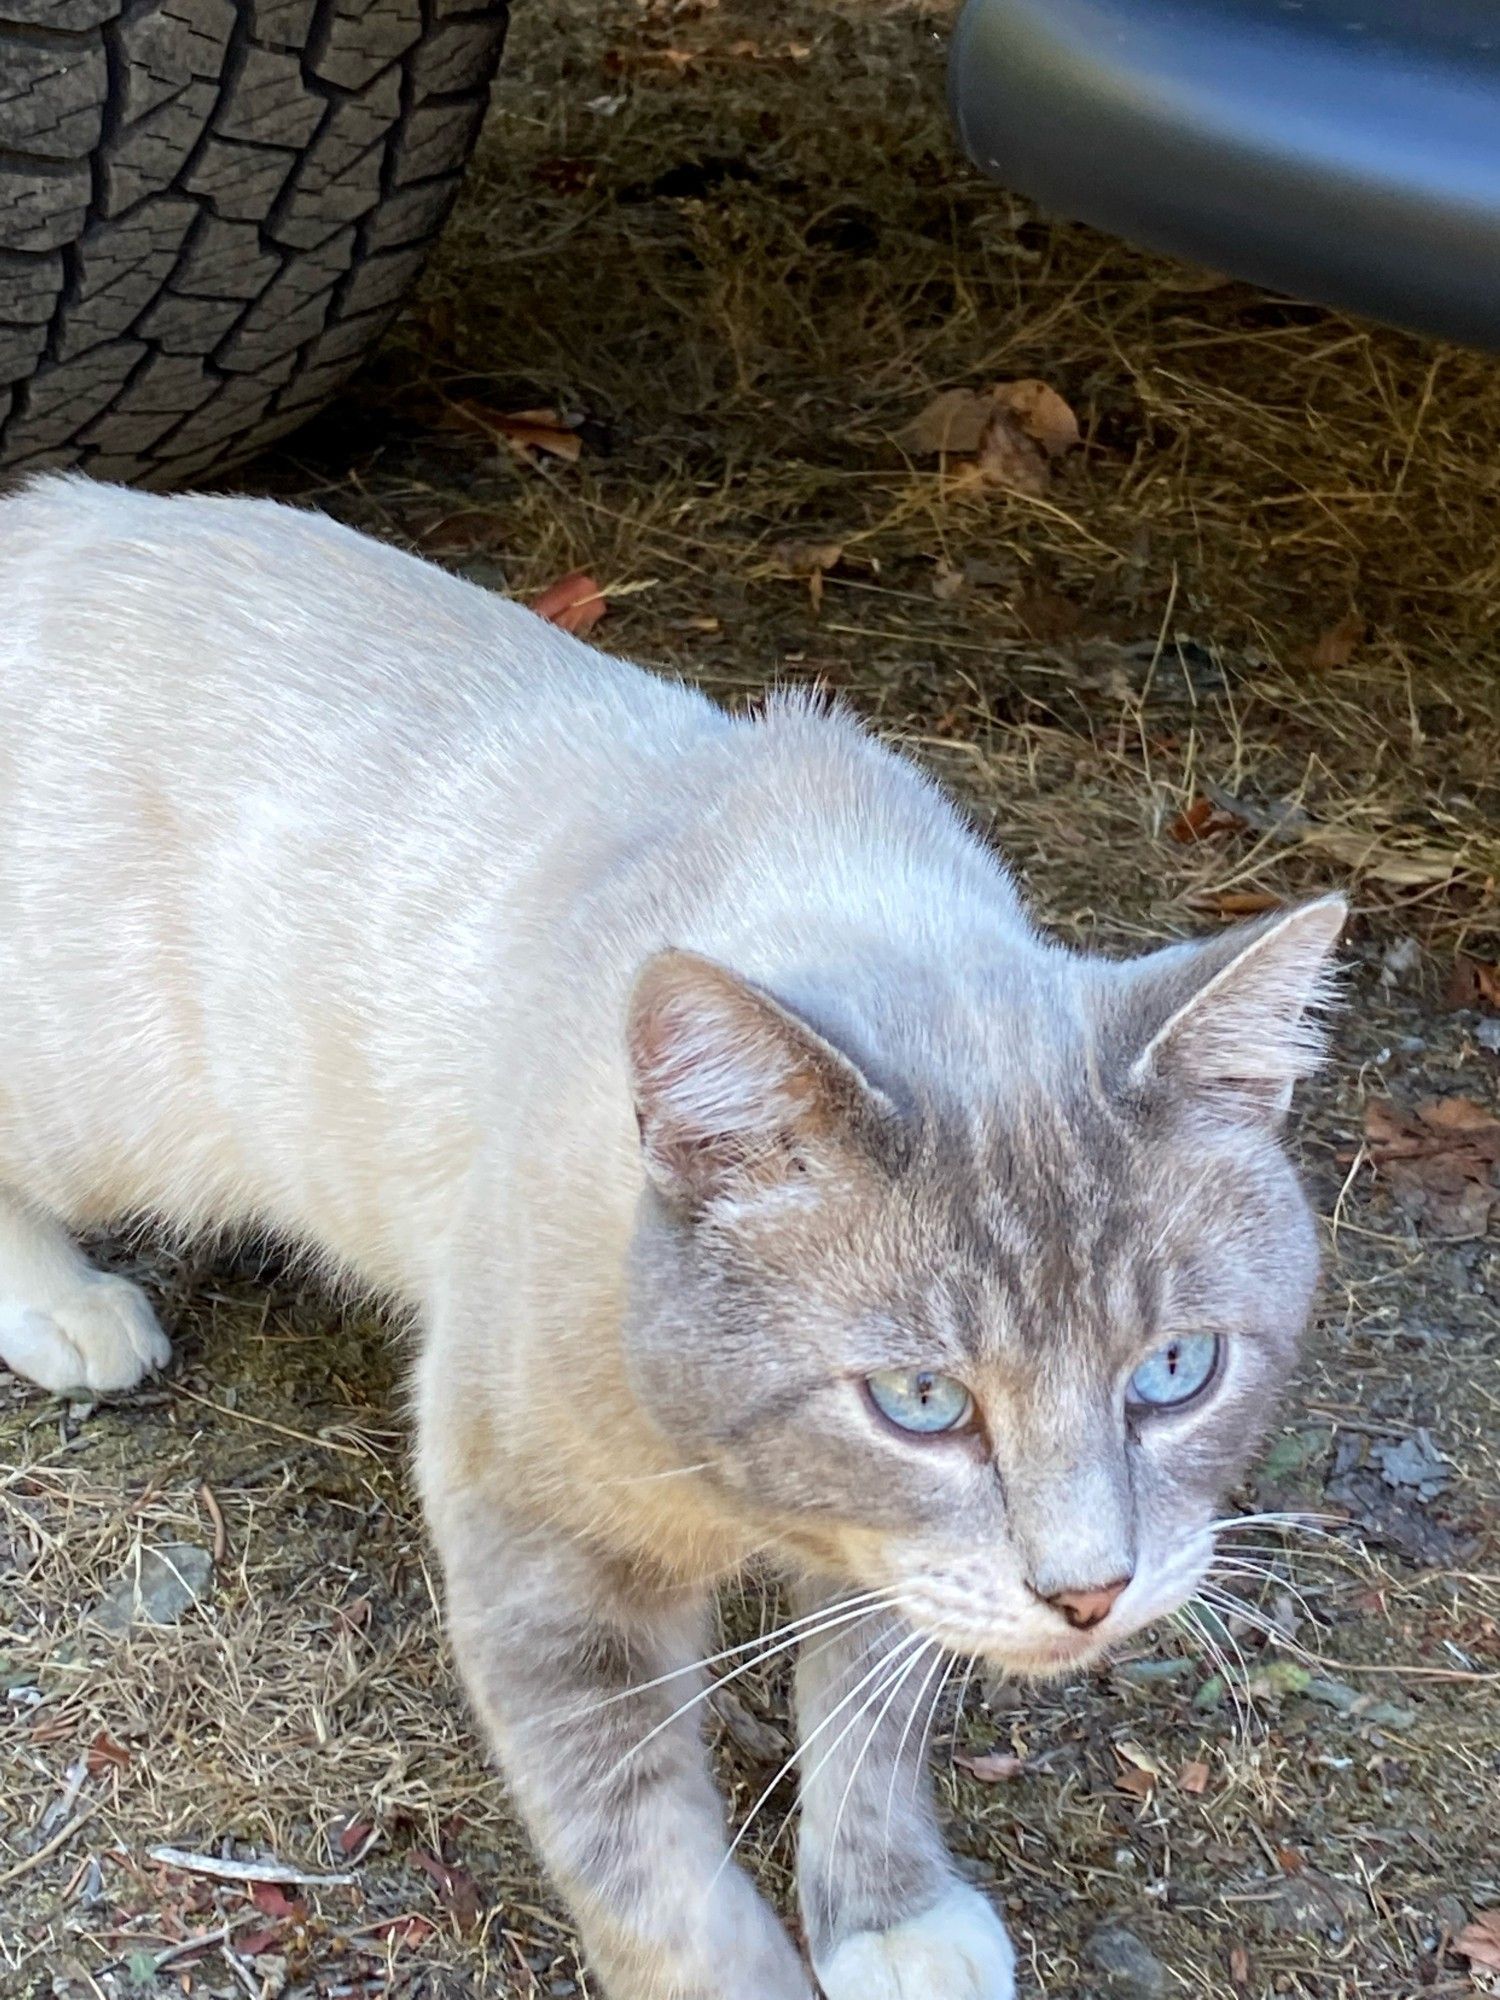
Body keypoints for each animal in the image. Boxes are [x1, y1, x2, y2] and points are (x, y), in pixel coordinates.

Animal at [0, 472, 1344, 2000]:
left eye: (1176, 1372)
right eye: (922, 1401)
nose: (1092, 1596)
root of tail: (50, 508)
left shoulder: (893, 1560)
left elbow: (869, 1721)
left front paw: (887, 1915)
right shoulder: (544, 1557)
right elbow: (650, 1864)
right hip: (112, 1107)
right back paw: (66, 1307)